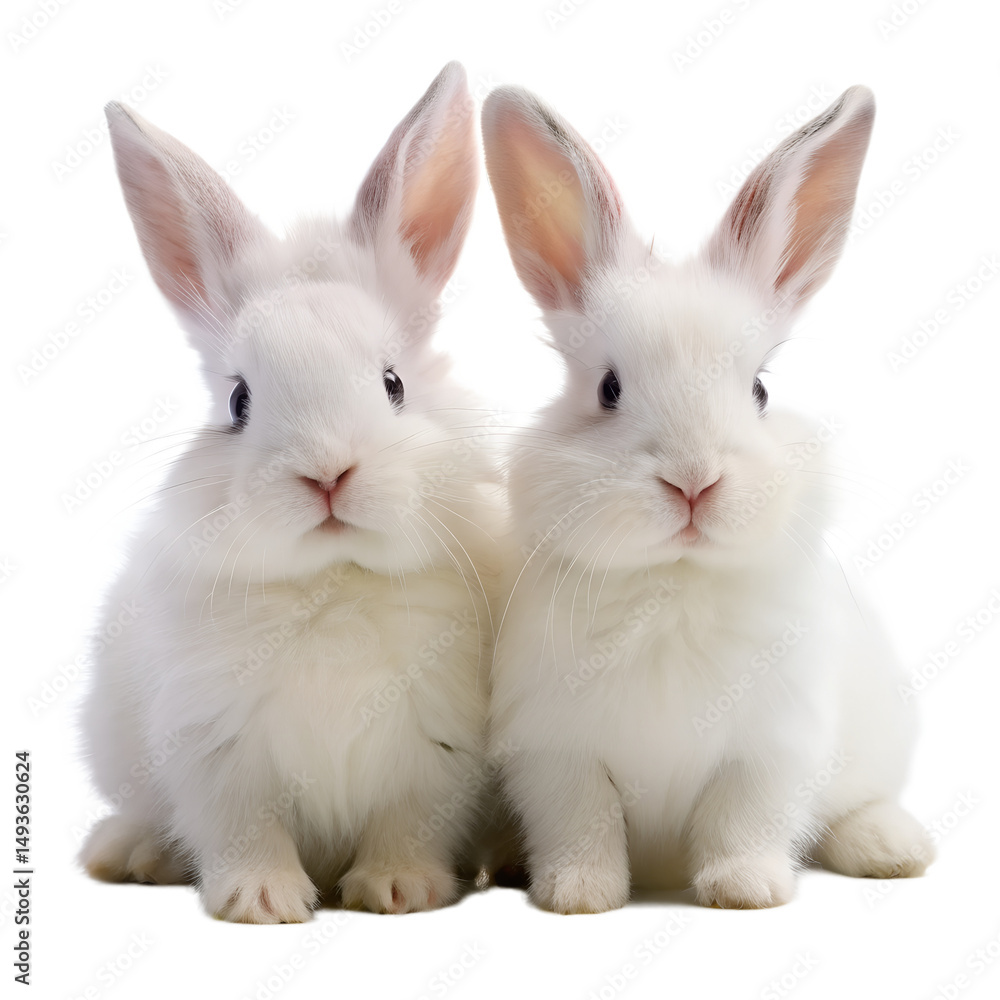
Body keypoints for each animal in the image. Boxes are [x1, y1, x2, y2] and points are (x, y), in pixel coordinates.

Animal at [78, 62, 504, 922]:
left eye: (393, 384)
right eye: (240, 400)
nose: (327, 474)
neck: (334, 579)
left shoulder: (439, 753)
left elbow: (406, 824)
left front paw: (397, 891)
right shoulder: (215, 751)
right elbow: (244, 830)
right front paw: (263, 901)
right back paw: (129, 853)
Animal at [481, 83, 934, 913]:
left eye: (758, 390)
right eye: (608, 388)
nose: (693, 482)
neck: (675, 583)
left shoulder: (773, 748)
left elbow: (743, 817)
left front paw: (746, 889)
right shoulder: (555, 751)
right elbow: (583, 821)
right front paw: (578, 894)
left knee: (861, 803)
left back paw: (893, 847)